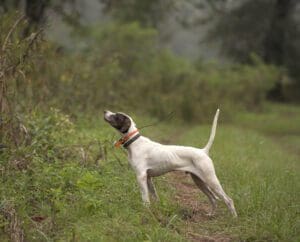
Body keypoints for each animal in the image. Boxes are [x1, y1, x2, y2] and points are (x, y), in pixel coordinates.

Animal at [103, 110, 237, 217]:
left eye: (117, 116)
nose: (105, 111)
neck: (135, 142)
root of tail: (203, 151)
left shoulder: (141, 176)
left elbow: (145, 198)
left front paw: (146, 211)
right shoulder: (148, 178)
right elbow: (154, 196)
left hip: (211, 179)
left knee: (228, 200)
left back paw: (234, 218)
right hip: (199, 181)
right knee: (213, 199)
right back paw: (211, 215)